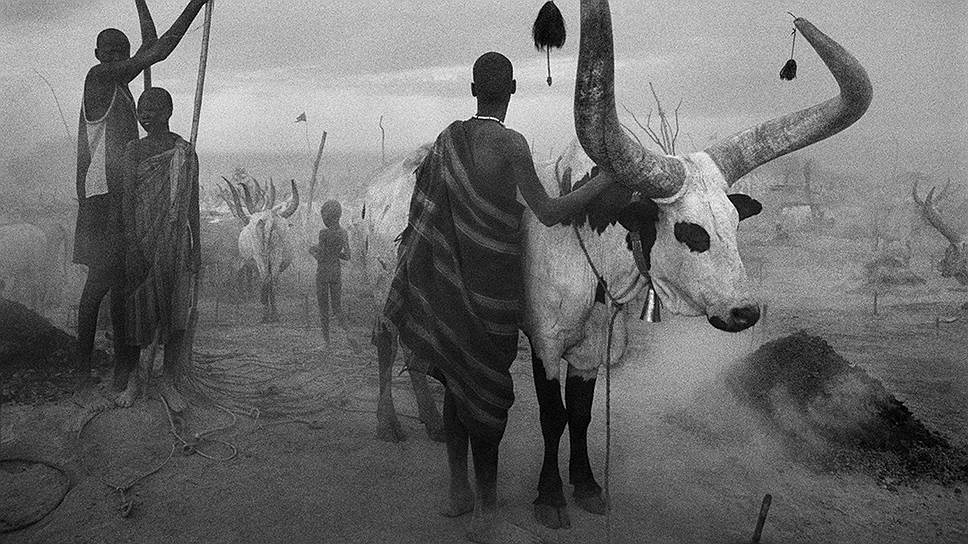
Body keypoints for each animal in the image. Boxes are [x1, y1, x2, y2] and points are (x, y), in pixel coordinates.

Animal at [222, 179, 300, 322]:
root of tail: (268, 220)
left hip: (261, 256)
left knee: (266, 279)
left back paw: (267, 313)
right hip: (273, 256)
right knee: (270, 280)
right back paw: (272, 314)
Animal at [369, 1, 872, 531]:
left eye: (736, 223)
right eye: (689, 231)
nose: (745, 313)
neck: (587, 251)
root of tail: (377, 185)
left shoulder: (592, 349)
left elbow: (581, 414)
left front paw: (587, 485)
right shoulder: (546, 342)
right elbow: (553, 416)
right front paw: (550, 496)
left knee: (423, 360)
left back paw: (432, 424)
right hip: (387, 294)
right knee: (389, 347)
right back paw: (396, 428)